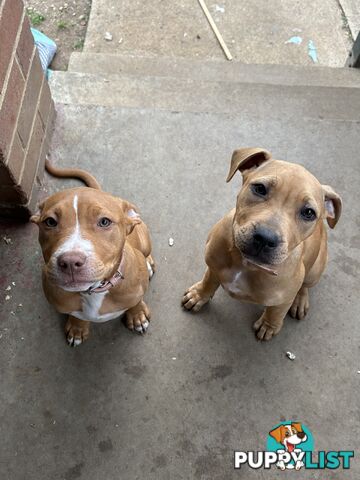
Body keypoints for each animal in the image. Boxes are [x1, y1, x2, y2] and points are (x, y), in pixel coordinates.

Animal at [31, 161, 155, 344]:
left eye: (104, 222)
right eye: (50, 222)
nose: (70, 262)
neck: (94, 291)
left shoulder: (138, 291)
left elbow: (136, 301)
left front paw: (137, 315)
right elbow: (76, 315)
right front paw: (77, 328)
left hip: (144, 238)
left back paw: (149, 263)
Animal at [181, 148, 342, 340]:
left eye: (308, 212)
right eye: (260, 188)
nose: (266, 238)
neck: (246, 264)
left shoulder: (284, 299)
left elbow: (276, 312)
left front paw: (268, 325)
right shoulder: (213, 265)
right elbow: (208, 281)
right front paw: (199, 295)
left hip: (315, 270)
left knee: (304, 286)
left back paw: (300, 300)